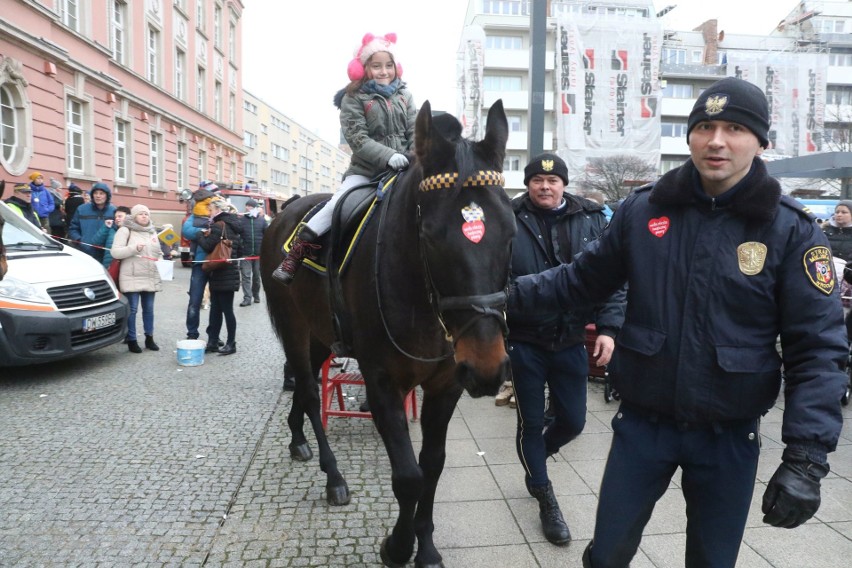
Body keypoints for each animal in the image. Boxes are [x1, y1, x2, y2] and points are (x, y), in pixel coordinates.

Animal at [260, 100, 512, 564]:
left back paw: (297, 438)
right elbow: (409, 475)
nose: (487, 367)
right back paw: (333, 476)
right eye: (430, 236)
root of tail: (283, 213)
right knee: (309, 391)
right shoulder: (381, 383)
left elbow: (432, 465)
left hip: (321, 335)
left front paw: (425, 544)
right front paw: (397, 545)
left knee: (305, 389)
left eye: (511, 233)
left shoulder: (446, 384)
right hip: (294, 327)